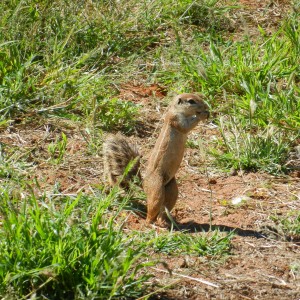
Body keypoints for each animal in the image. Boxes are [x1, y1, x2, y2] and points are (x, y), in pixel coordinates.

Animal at [103, 94, 209, 225]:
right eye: (191, 101)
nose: (205, 106)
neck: (176, 110)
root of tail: (144, 184)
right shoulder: (176, 119)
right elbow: (186, 127)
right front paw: (202, 114)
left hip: (171, 189)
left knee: (164, 208)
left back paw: (163, 222)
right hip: (156, 189)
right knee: (153, 209)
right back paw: (150, 222)